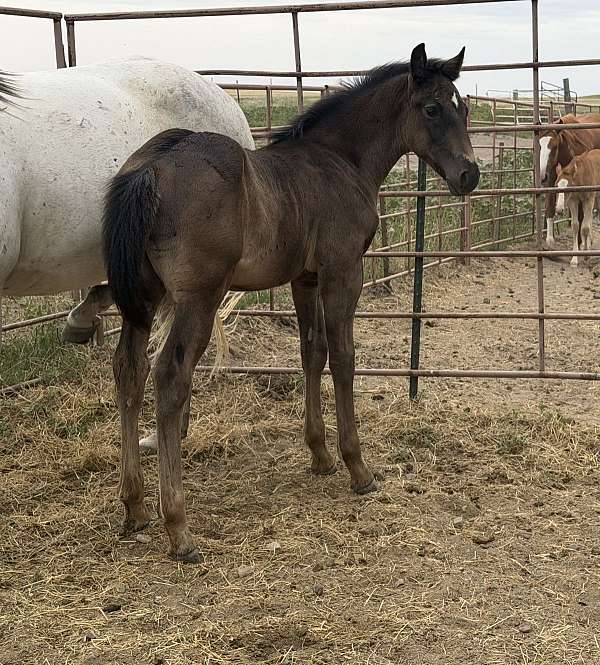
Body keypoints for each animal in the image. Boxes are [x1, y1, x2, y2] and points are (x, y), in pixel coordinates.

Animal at [102, 43, 479, 563]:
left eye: (463, 107)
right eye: (431, 109)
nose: (470, 174)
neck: (340, 160)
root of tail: (150, 167)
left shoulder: (305, 279)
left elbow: (311, 353)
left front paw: (319, 455)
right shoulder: (344, 272)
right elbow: (343, 357)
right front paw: (357, 467)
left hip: (141, 299)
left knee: (129, 371)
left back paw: (135, 506)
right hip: (198, 298)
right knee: (170, 377)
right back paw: (178, 528)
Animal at [539, 112, 600, 245]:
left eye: (554, 146)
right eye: (540, 145)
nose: (543, 176)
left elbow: (581, 216)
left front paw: (580, 242)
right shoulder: (553, 180)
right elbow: (550, 206)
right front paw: (549, 239)